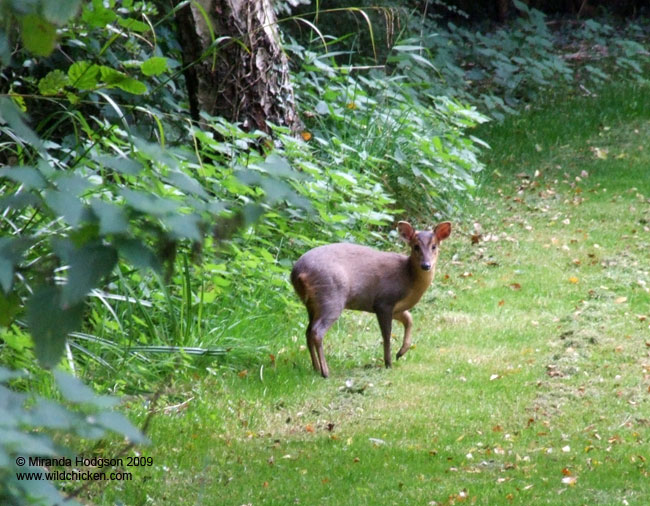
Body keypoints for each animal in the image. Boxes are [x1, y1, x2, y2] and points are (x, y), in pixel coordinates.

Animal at [290, 219, 450, 378]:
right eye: (416, 246)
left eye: (434, 246)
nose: (426, 265)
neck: (408, 279)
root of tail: (299, 273)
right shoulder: (383, 301)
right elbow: (387, 335)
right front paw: (388, 363)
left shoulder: (396, 307)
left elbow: (409, 320)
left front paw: (400, 353)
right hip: (331, 297)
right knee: (317, 332)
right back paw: (325, 371)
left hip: (311, 304)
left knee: (308, 331)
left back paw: (316, 368)